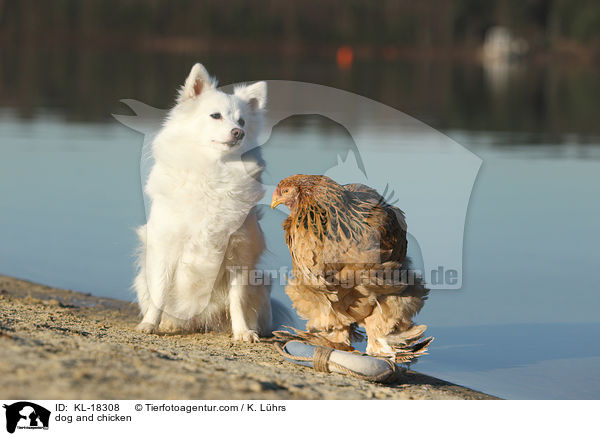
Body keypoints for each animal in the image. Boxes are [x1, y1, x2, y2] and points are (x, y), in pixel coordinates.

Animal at [135, 63, 270, 340]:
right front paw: (149, 324)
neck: (214, 169)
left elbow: (237, 300)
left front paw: (242, 332)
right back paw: (169, 324)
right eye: (215, 116)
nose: (238, 132)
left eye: (242, 121)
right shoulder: (166, 248)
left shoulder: (238, 255)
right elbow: (160, 293)